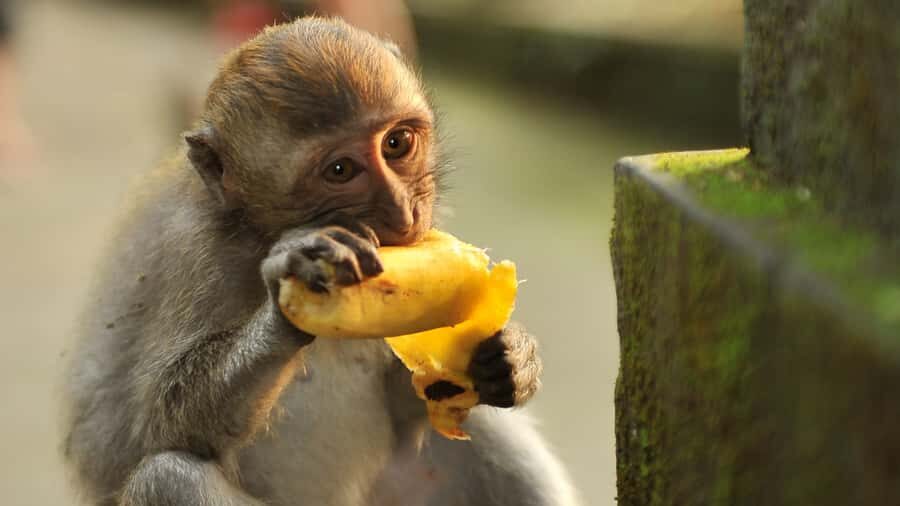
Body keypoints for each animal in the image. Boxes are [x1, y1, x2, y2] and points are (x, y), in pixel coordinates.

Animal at [61, 17, 579, 506]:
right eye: (340, 170)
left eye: (396, 143)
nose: (403, 212)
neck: (257, 232)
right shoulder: (198, 254)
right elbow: (155, 424)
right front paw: (288, 295)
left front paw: (512, 355)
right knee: (166, 477)